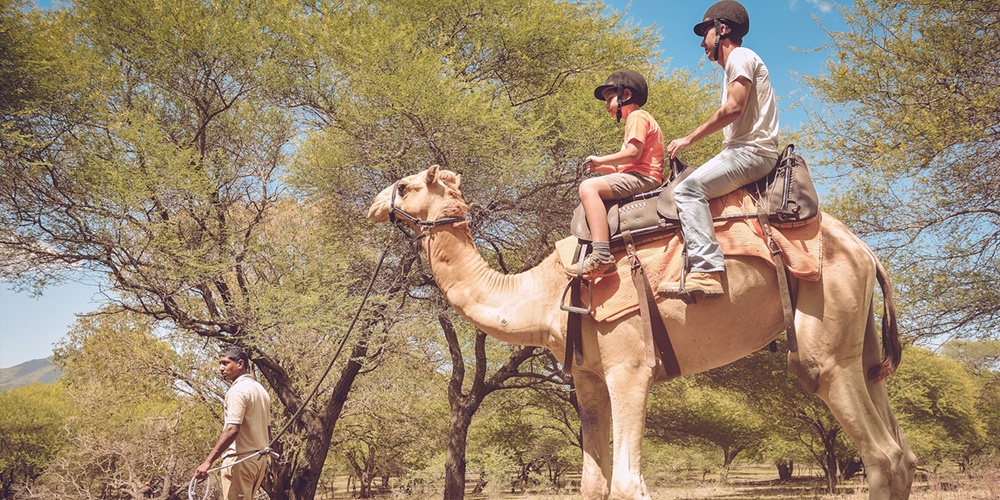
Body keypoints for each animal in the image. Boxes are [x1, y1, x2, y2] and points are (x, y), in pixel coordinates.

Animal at [367, 165, 917, 500]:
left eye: (406, 186)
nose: (373, 204)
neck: (543, 291)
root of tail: (865, 249)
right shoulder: (587, 377)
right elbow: (593, 484)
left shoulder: (628, 366)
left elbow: (628, 484)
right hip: (859, 338)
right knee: (900, 446)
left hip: (823, 324)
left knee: (879, 451)